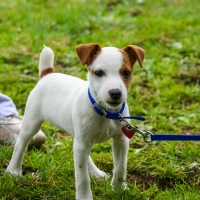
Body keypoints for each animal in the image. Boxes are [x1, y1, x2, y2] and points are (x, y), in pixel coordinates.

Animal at [6, 43, 144, 199]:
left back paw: (96, 173)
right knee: (20, 145)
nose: (115, 93)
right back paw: (13, 170)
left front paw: (119, 189)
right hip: (32, 123)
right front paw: (84, 197)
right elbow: (82, 177)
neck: (105, 112)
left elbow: (120, 167)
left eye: (126, 73)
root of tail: (48, 74)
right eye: (99, 72)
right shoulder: (82, 143)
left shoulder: (121, 141)